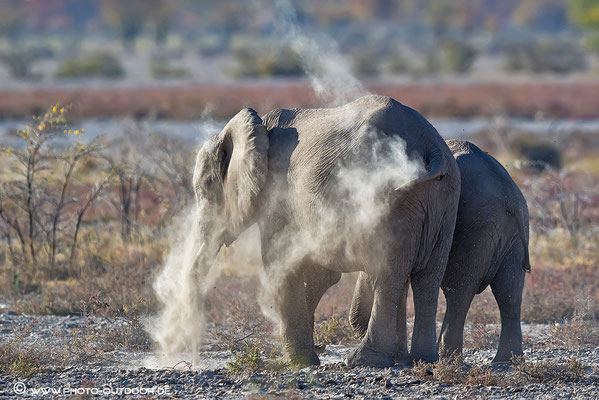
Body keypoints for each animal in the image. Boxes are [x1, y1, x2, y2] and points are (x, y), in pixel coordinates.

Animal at [192, 95, 460, 368]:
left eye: (206, 187)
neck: (258, 125)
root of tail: (431, 147)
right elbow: (320, 272)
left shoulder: (277, 193)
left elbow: (281, 261)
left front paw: (301, 362)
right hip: (446, 201)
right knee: (427, 279)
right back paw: (422, 361)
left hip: (393, 199)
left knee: (388, 275)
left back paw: (363, 360)